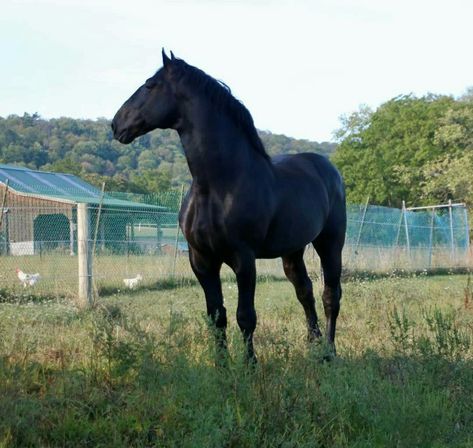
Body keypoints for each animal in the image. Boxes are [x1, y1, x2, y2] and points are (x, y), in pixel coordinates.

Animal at [112, 50, 344, 362]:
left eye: (150, 85)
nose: (116, 124)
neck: (218, 185)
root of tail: (328, 168)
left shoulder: (243, 259)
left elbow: (245, 316)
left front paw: (249, 364)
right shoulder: (201, 261)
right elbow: (216, 315)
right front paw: (221, 365)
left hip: (330, 244)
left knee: (330, 295)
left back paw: (329, 351)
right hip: (293, 250)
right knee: (304, 291)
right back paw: (314, 344)